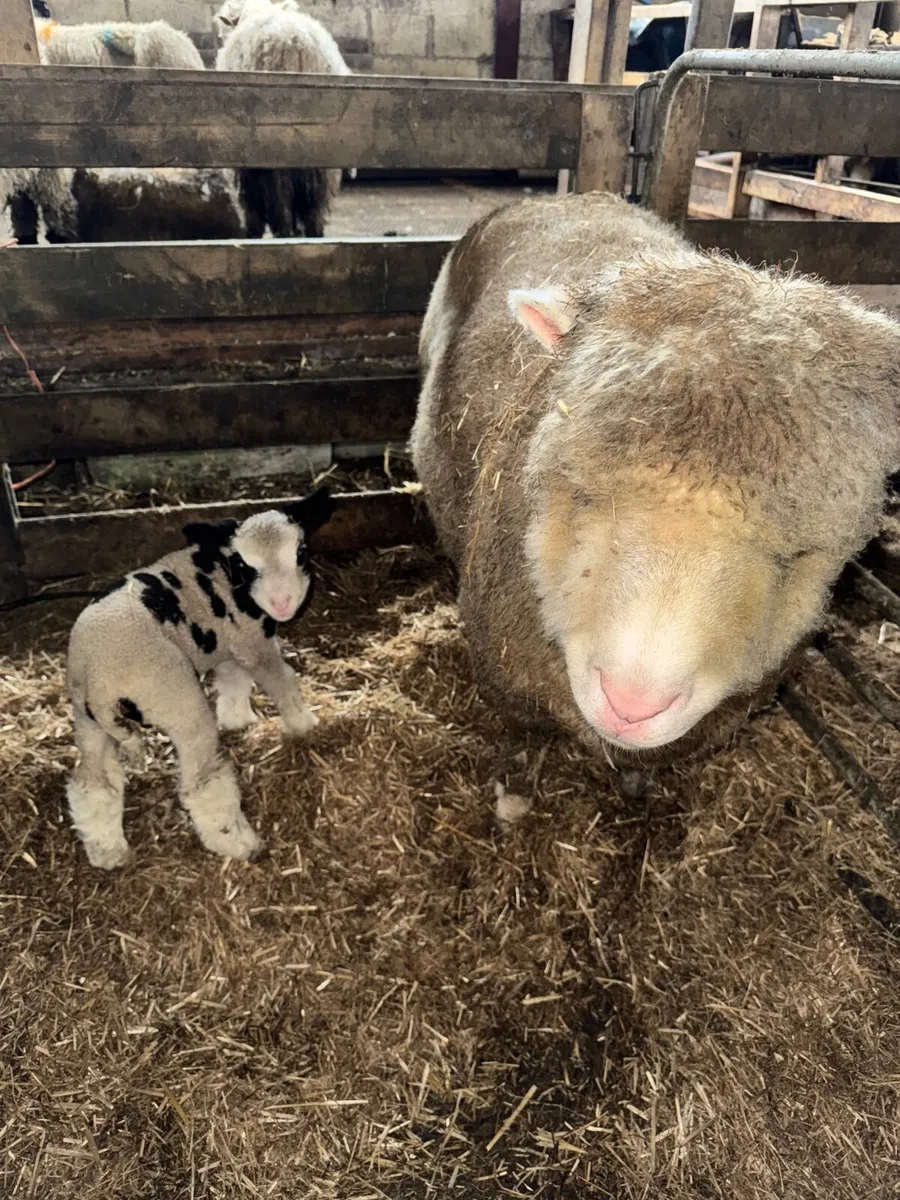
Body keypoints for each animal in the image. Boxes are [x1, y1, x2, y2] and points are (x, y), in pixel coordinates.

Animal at [65, 488, 335, 869]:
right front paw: (304, 724)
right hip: (179, 703)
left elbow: (233, 680)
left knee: (93, 786)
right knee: (201, 784)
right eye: (246, 566)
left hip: (87, 720)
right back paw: (237, 842)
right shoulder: (253, 639)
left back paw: (106, 850)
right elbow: (280, 680)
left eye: (300, 552)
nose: (282, 603)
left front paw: (237, 718)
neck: (222, 571)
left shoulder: (229, 642)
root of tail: (98, 679)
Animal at [215, 0, 350, 238]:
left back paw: (281, 232)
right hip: (323, 151)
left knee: (279, 196)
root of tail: (297, 45)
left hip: (274, 146)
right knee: (315, 204)